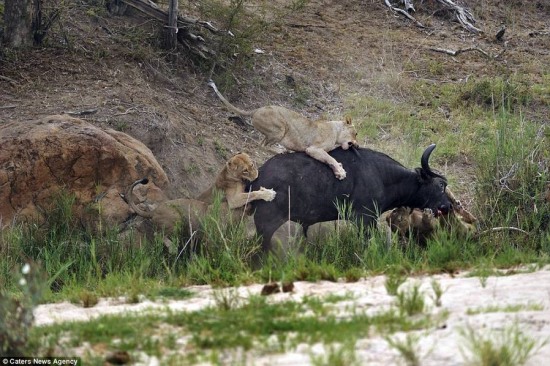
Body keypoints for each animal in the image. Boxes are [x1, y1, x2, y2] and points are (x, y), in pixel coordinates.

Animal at [249, 143, 452, 252]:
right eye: (440, 185)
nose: (448, 206)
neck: (383, 176)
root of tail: (259, 174)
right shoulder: (365, 220)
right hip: (266, 224)